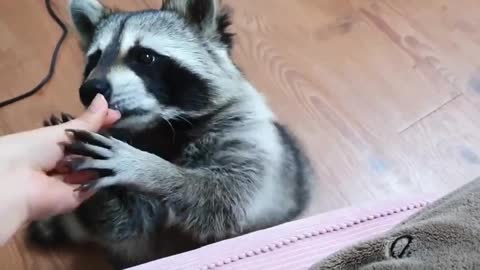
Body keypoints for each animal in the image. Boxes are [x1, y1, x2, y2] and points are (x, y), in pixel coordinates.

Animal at [29, 0, 316, 268]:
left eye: (145, 57)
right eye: (94, 60)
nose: (90, 90)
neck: (160, 125)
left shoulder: (246, 130)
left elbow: (227, 198)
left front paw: (148, 168)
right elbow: (125, 222)